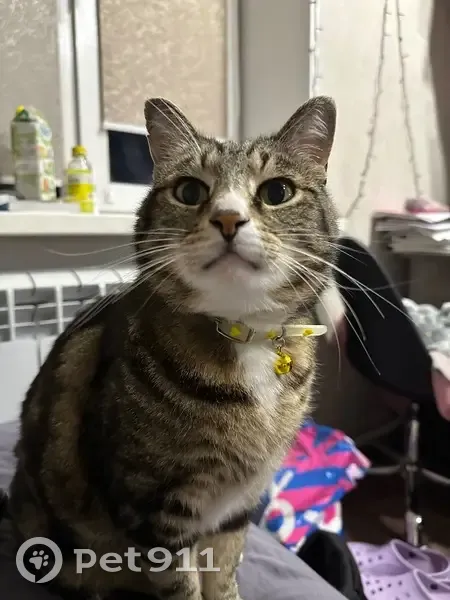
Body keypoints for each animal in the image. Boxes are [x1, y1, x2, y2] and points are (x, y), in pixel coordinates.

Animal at [8, 95, 338, 600]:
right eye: (189, 191)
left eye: (277, 192)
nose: (228, 218)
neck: (244, 339)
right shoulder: (153, 508)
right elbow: (183, 584)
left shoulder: (237, 507)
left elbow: (224, 573)